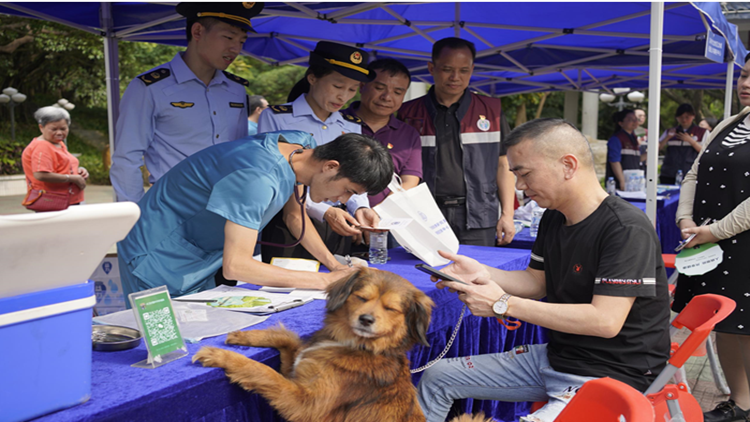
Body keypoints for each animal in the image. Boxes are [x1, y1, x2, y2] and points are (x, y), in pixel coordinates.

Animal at [191, 268, 490, 422]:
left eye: (391, 308)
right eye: (361, 297)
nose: (366, 319)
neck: (356, 345)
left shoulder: (305, 404)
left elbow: (264, 373)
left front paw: (218, 355)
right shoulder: (296, 372)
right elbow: (287, 339)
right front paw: (242, 336)